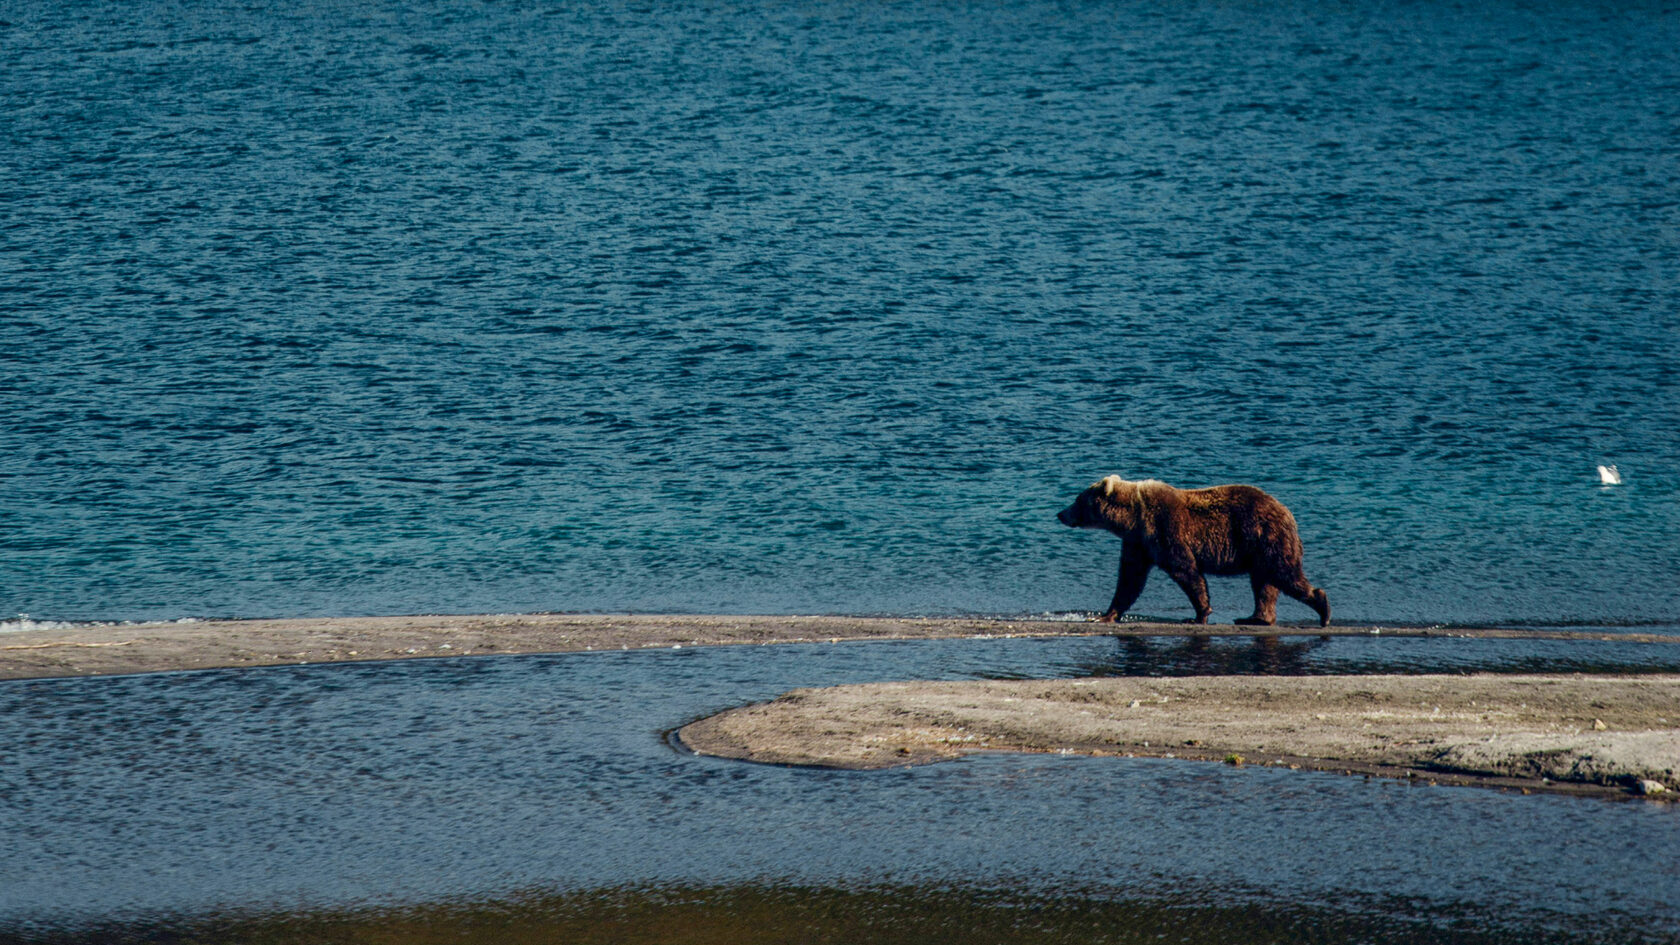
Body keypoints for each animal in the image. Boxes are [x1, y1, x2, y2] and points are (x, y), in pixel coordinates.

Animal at [1055, 470, 1330, 625]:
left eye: (1077, 500)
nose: (1060, 513)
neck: (1133, 518)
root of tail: (1287, 512)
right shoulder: (1138, 543)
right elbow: (1129, 580)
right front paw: (1105, 614)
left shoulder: (1164, 529)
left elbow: (1186, 571)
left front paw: (1199, 613)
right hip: (1259, 548)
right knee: (1264, 584)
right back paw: (1256, 618)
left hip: (1266, 537)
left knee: (1283, 573)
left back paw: (1323, 607)